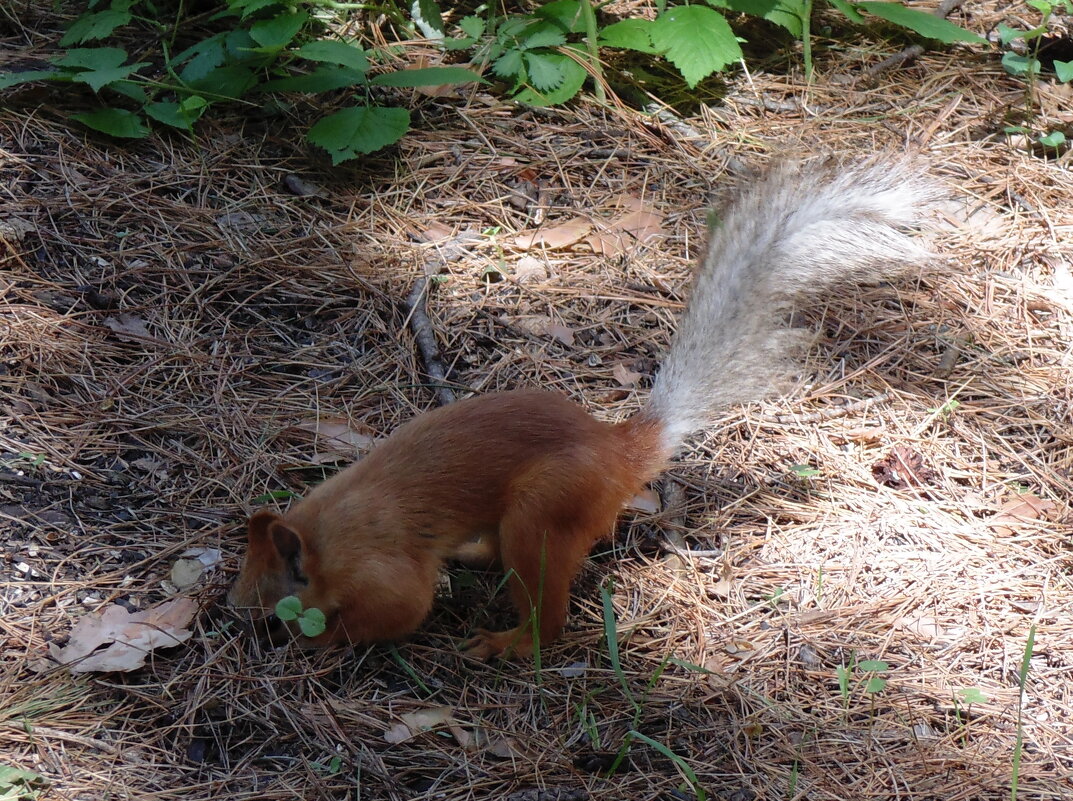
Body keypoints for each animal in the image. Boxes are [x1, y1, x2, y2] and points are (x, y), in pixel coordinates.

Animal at [228, 156, 939, 656]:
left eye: (274, 582)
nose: (233, 609)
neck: (325, 529)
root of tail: (620, 451)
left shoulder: (380, 570)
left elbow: (401, 610)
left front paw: (319, 641)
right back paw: (474, 558)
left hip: (544, 511)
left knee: (548, 611)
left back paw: (511, 644)